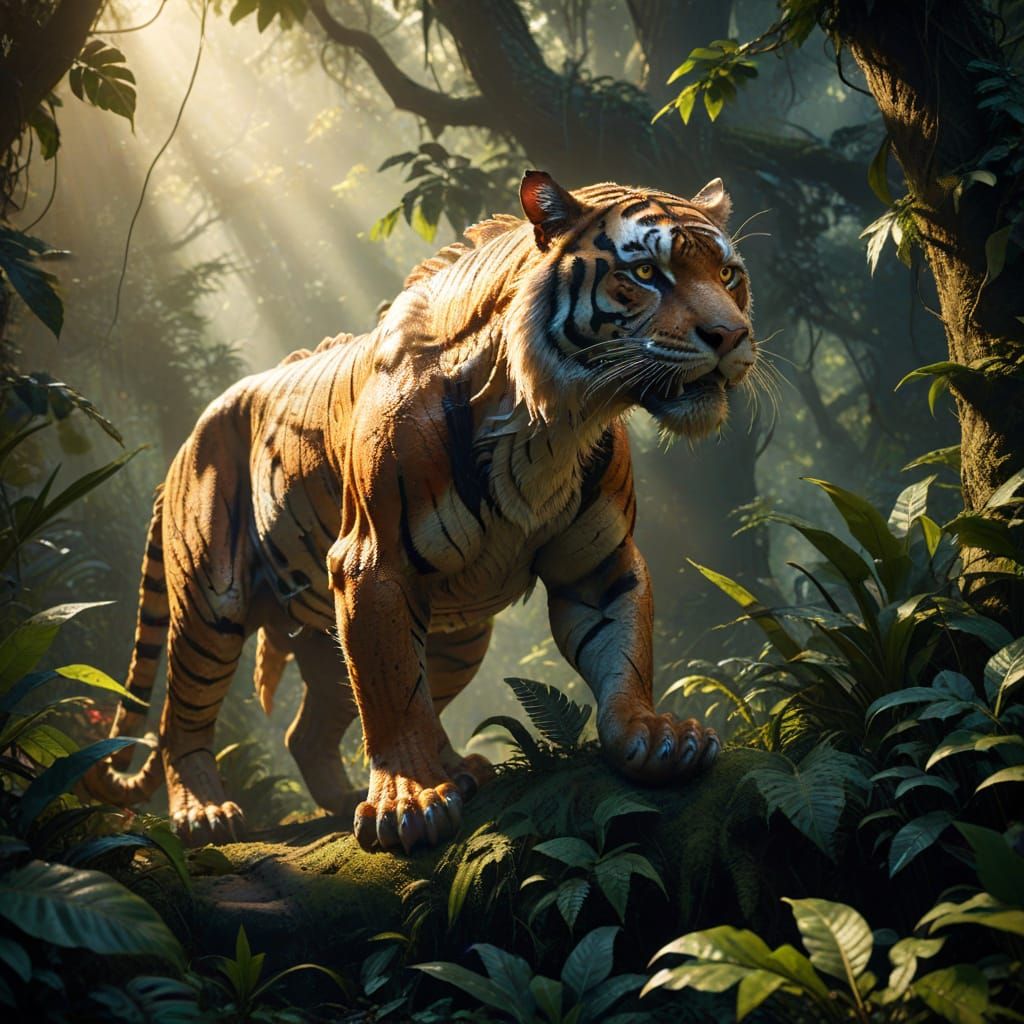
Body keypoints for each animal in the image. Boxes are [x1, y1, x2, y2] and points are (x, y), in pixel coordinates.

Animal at [85, 171, 757, 854]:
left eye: (728, 274)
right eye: (646, 271)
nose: (731, 337)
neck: (550, 421)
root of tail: (185, 442)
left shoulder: (599, 562)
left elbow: (623, 653)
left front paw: (655, 736)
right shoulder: (371, 566)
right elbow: (393, 699)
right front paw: (406, 801)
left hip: (436, 636)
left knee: (312, 729)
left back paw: (420, 779)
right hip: (210, 602)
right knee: (181, 721)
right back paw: (205, 812)